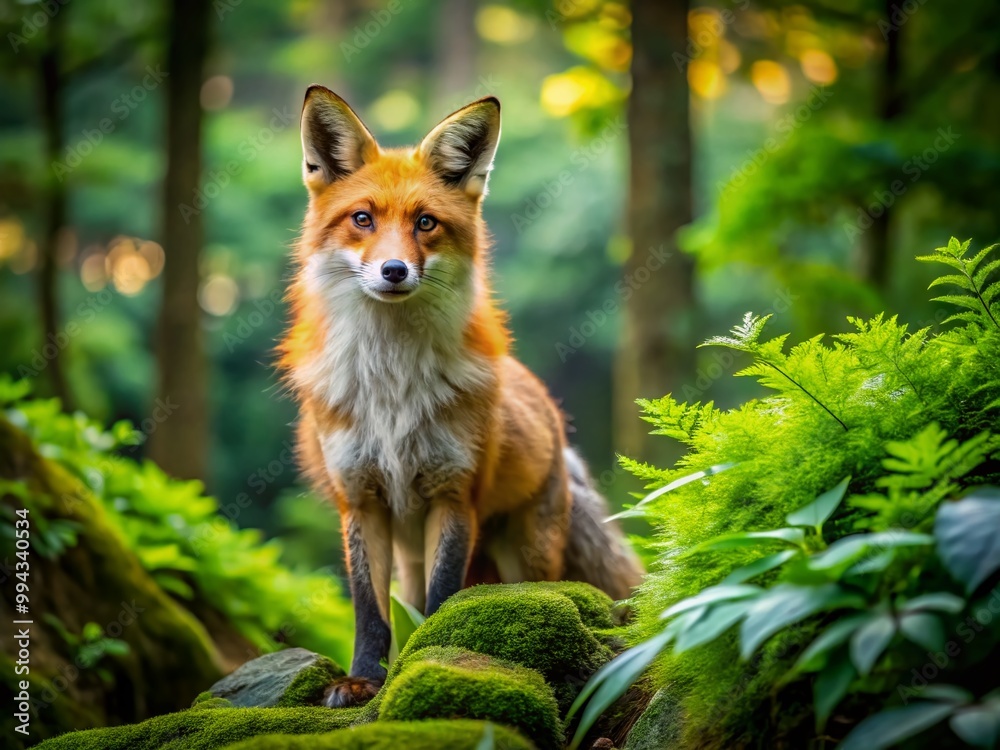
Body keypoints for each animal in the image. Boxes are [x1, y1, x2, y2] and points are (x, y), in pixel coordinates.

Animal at [279, 85, 644, 707]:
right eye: (362, 219)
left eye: (425, 222)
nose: (394, 270)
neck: (391, 385)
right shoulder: (362, 501)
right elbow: (370, 612)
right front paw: (363, 681)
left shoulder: (454, 495)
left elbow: (440, 599)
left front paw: (429, 660)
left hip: (526, 556)